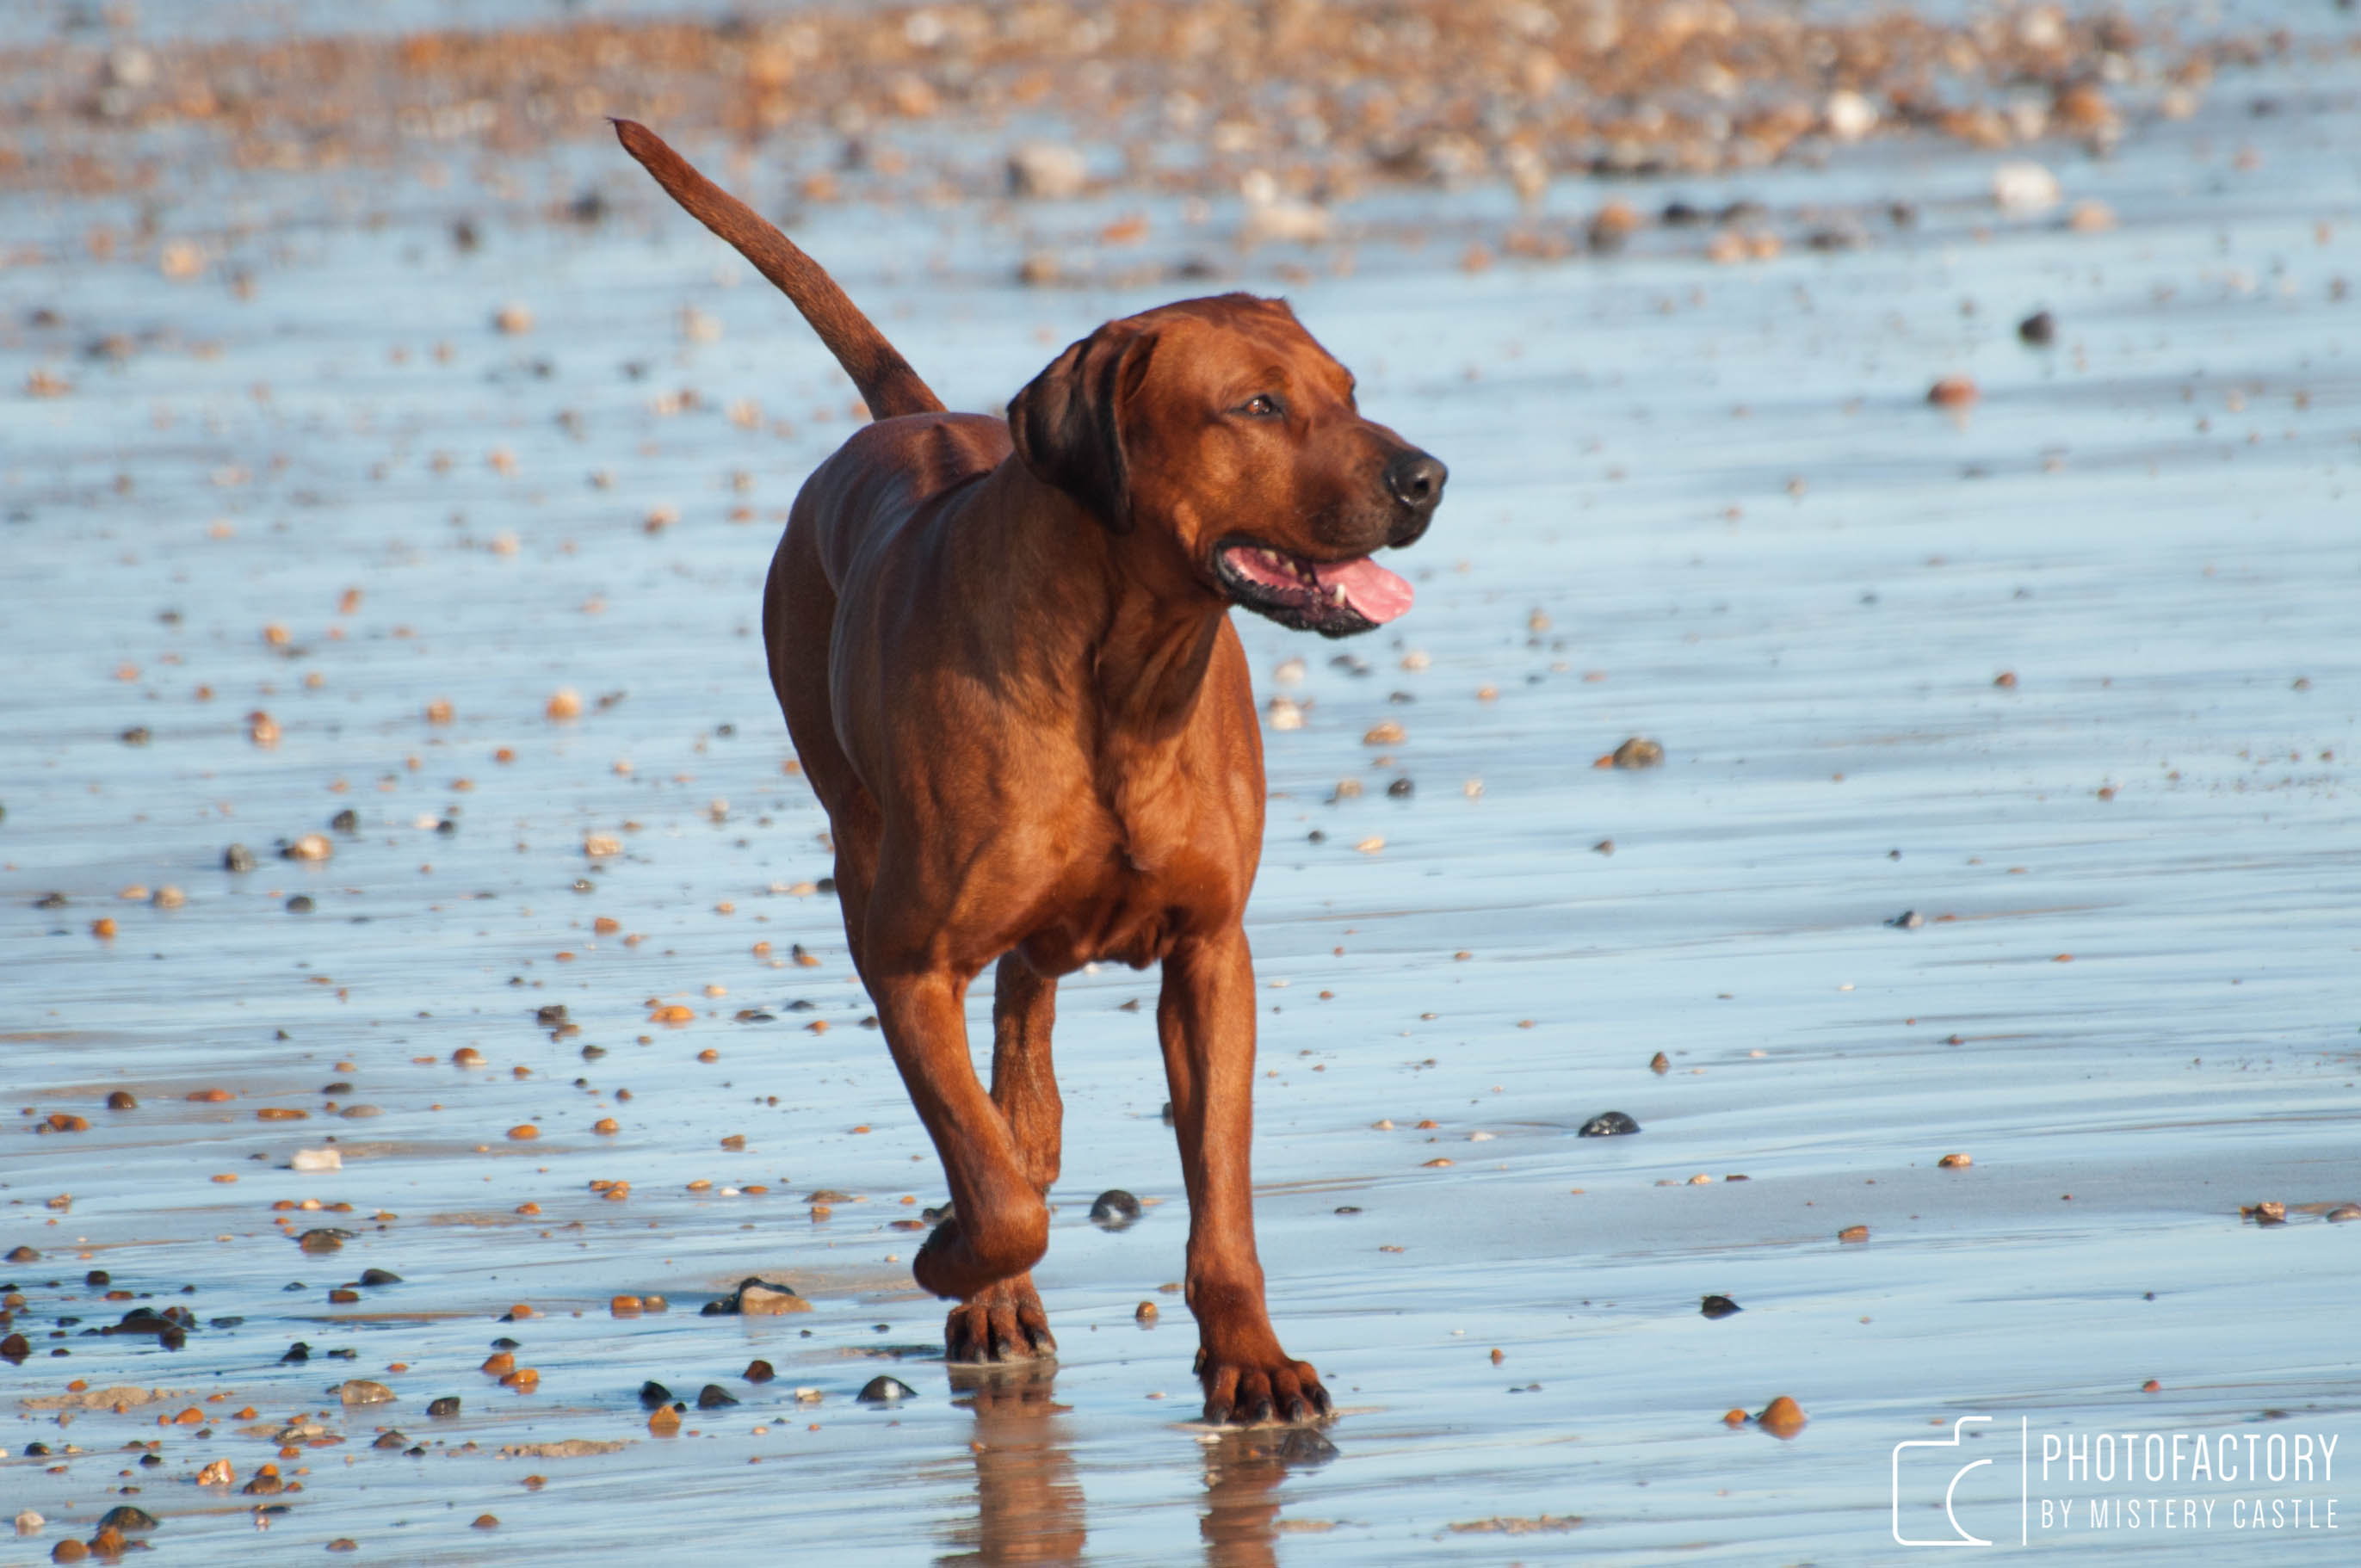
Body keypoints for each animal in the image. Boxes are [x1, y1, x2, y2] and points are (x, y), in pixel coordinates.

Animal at [618, 122, 1444, 1417]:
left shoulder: (1212, 953)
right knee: (995, 1091)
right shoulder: (904, 962)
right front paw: (957, 1255)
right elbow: (993, 1188)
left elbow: (1217, 1191)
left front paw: (1249, 1354)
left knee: (1026, 1013)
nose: (1424, 477)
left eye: (1347, 392)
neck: (1124, 674)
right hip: (855, 840)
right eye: (1255, 406)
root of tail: (908, 418)